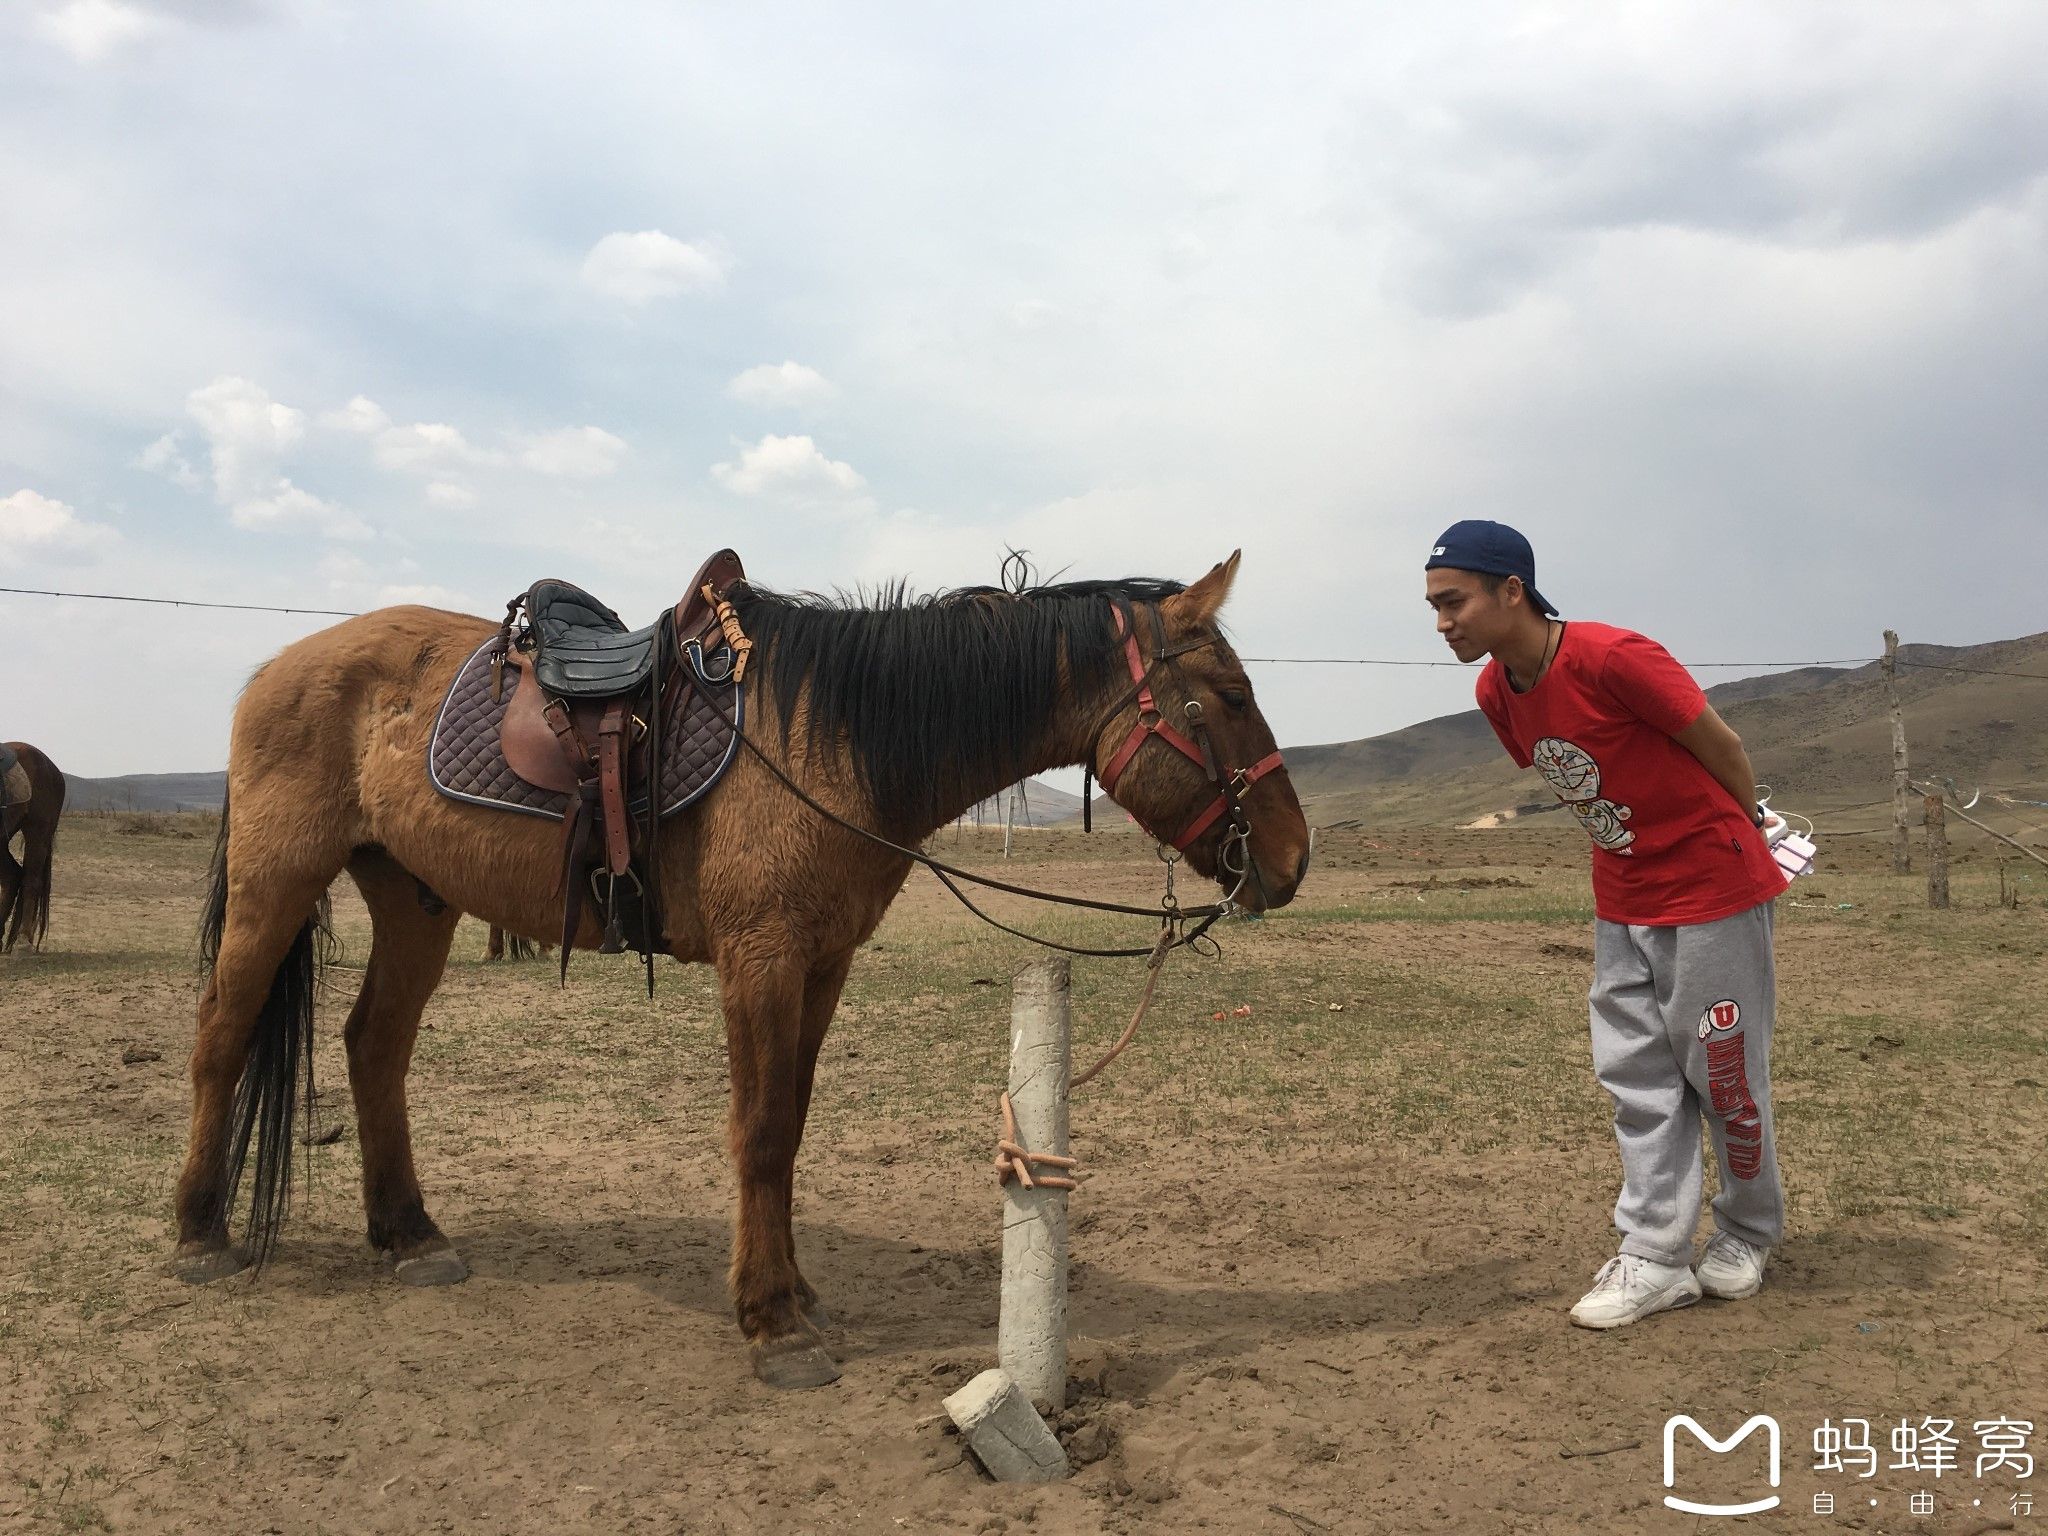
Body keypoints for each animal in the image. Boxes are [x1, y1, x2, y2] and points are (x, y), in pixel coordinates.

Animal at [167, 557, 1302, 1392]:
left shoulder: (822, 964)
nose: (1290, 861)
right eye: (1229, 695)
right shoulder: (761, 961)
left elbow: (789, 1130)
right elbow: (757, 1134)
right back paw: (199, 1233)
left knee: (374, 1047)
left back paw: (409, 1236)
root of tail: (274, 669)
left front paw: (795, 1295)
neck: (834, 739)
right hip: (279, 880)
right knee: (222, 1035)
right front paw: (771, 1326)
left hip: (414, 898)